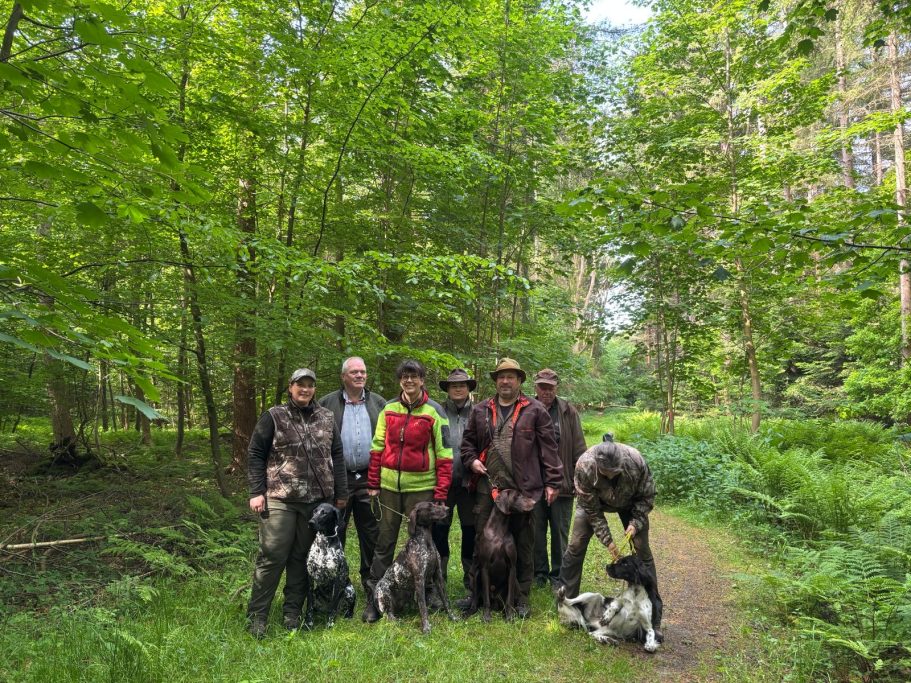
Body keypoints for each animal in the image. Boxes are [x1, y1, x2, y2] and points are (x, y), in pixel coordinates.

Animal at [374, 501, 457, 633]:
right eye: (429, 506)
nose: (448, 509)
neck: (427, 541)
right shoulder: (419, 580)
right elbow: (423, 607)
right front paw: (426, 627)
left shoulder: (438, 576)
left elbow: (446, 600)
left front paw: (452, 617)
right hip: (384, 590)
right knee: (388, 616)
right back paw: (396, 621)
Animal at [466, 488, 536, 622]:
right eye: (517, 495)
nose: (534, 503)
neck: (499, 531)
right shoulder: (484, 567)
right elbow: (486, 599)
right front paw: (486, 616)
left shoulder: (512, 567)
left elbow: (510, 598)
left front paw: (509, 616)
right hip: (476, 575)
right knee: (476, 598)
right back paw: (469, 611)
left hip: (514, 582)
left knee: (512, 598)